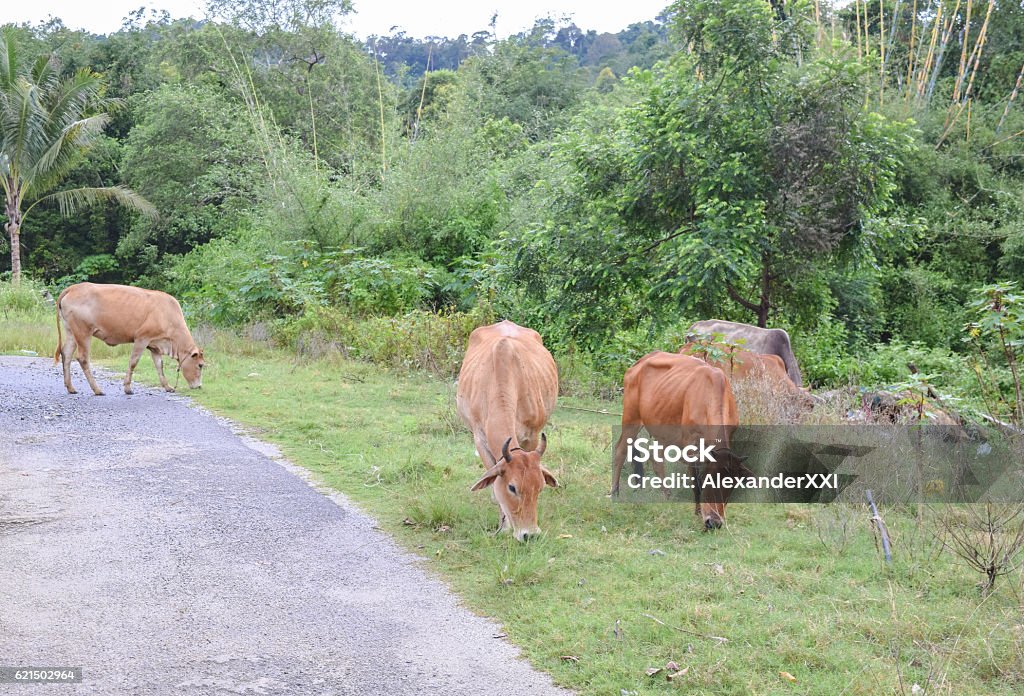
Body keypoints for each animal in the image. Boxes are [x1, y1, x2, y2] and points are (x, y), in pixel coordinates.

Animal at [54, 280, 205, 395]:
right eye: (200, 365)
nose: (199, 386)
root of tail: (73, 288)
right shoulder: (142, 338)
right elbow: (133, 362)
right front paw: (127, 388)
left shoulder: (155, 345)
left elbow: (159, 366)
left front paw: (168, 387)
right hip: (83, 332)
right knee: (82, 358)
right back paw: (97, 390)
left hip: (71, 331)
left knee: (66, 354)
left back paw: (71, 388)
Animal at [456, 321, 561, 544]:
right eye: (512, 488)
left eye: (540, 487)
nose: (530, 535)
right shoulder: (480, 439)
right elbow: (495, 484)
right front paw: (503, 527)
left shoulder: (532, 436)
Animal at [606, 350, 753, 528]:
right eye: (709, 480)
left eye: (731, 487)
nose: (714, 522)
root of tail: (641, 361)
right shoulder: (691, 443)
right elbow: (695, 482)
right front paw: (698, 512)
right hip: (631, 417)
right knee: (620, 450)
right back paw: (615, 491)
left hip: (661, 426)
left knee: (656, 460)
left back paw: (667, 494)